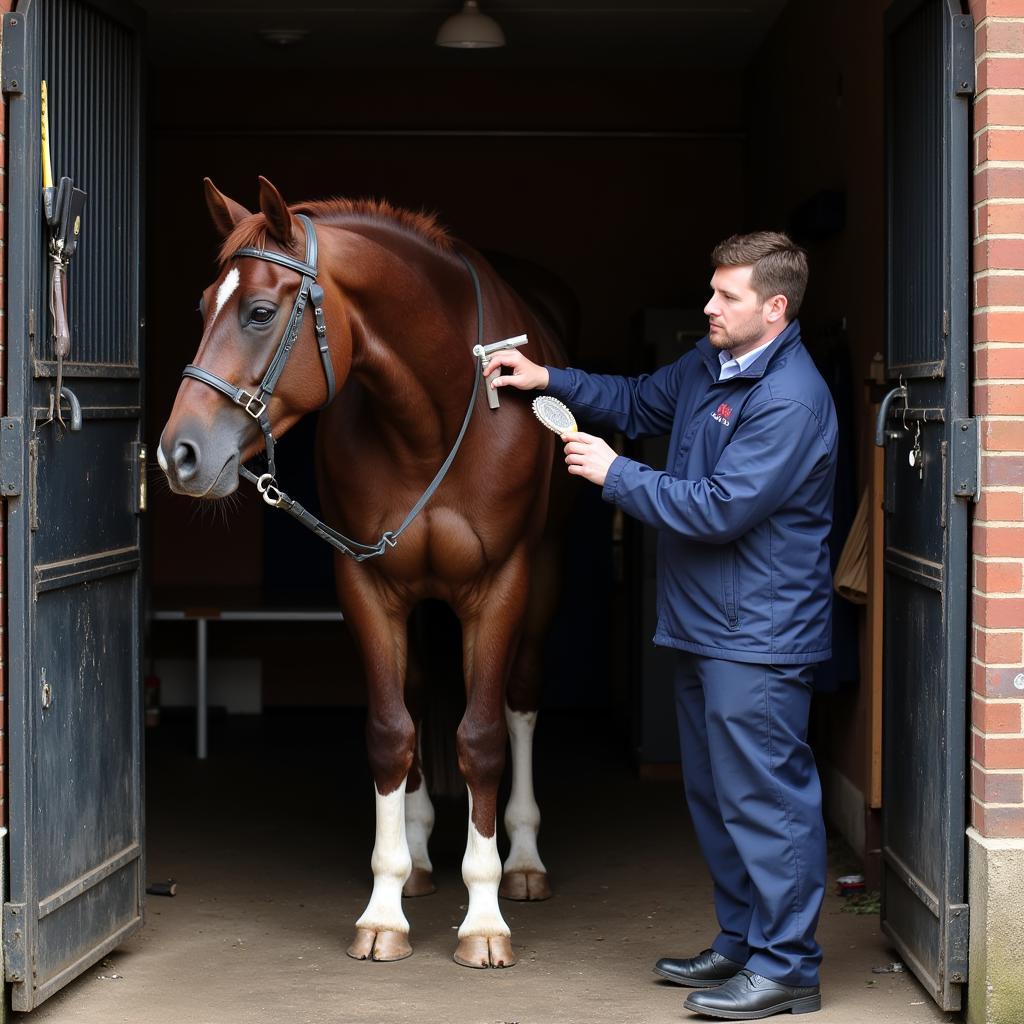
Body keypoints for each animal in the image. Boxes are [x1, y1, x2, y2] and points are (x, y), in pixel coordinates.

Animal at [163, 180, 573, 970]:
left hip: (541, 582)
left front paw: (484, 920)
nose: (179, 455)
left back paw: (524, 861)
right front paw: (385, 909)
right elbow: (390, 731)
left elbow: (482, 739)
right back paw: (416, 860)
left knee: (522, 702)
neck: (436, 416)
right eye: (201, 308)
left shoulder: (501, 586)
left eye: (259, 312)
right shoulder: (369, 585)